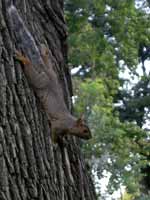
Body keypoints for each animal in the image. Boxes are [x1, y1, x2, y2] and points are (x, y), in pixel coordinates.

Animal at [7, 5, 92, 142]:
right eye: (85, 130)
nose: (90, 137)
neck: (70, 123)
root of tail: (46, 71)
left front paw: (62, 139)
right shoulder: (59, 125)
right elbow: (54, 133)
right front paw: (55, 142)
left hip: (50, 69)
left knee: (45, 57)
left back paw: (44, 49)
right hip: (40, 80)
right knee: (31, 71)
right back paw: (23, 59)